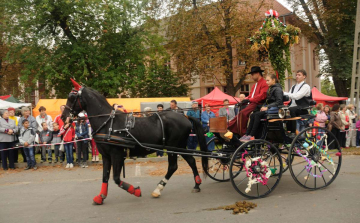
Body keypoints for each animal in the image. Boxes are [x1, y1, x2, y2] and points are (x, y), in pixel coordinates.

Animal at [62, 79, 208, 204]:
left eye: (72, 98)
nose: (63, 117)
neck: (108, 123)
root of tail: (185, 116)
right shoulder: (106, 156)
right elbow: (105, 177)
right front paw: (101, 196)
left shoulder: (116, 154)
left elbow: (116, 178)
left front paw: (135, 191)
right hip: (179, 146)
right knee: (191, 161)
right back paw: (197, 184)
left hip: (173, 147)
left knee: (173, 166)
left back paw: (158, 189)